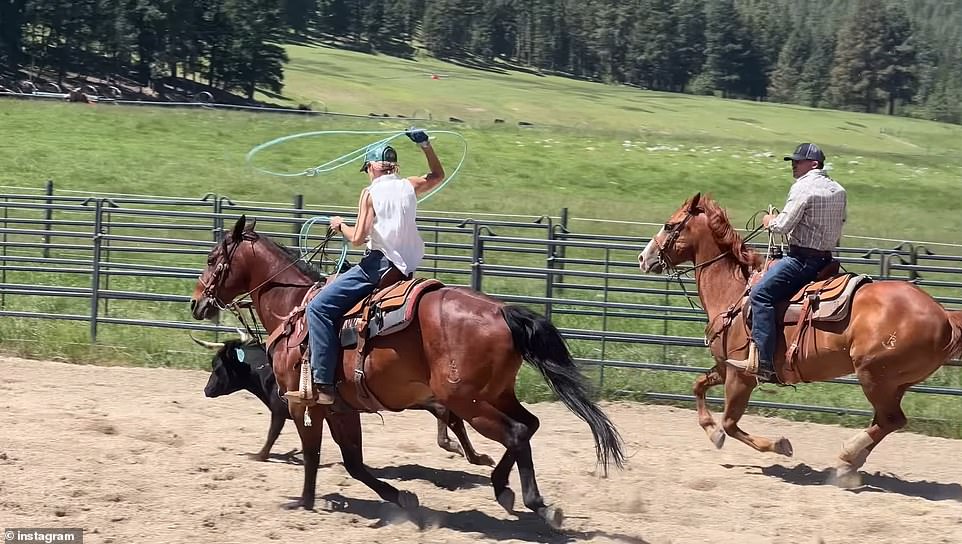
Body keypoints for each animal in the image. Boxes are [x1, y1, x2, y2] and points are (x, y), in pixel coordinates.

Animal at [189, 216, 624, 528]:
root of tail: (502, 311)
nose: (196, 303)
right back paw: (503, 488)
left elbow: (313, 453)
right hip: (494, 394)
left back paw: (536, 503)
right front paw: (400, 497)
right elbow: (353, 462)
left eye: (211, 260)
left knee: (516, 433)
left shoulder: (302, 403)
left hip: (466, 400)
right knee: (529, 426)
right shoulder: (342, 407)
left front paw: (304, 501)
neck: (293, 308)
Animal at [636, 193, 960, 486]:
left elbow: (730, 422)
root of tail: (944, 316)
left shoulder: (742, 376)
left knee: (891, 420)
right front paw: (711, 431)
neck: (734, 291)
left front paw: (778, 445)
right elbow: (698, 386)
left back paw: (846, 458)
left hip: (874, 376)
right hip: (894, 382)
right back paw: (850, 464)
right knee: (885, 421)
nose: (643, 258)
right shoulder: (727, 366)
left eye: (669, 225)